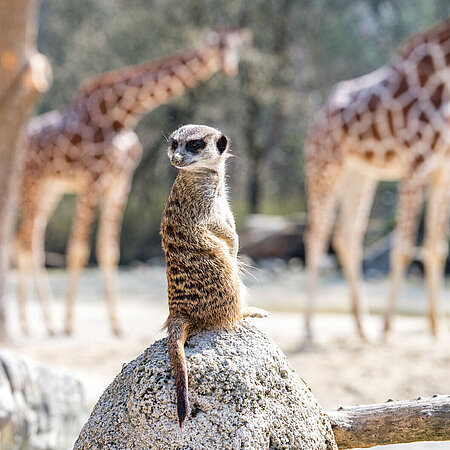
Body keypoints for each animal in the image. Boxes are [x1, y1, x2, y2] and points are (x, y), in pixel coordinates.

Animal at [15, 29, 248, 336]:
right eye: (220, 46)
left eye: (238, 47)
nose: (231, 67)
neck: (122, 113)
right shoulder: (93, 178)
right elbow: (78, 251)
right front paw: (69, 324)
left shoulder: (120, 180)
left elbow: (109, 251)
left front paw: (116, 325)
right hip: (30, 181)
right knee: (26, 240)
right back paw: (35, 324)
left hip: (50, 188)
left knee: (30, 238)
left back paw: (40, 322)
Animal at [304, 17, 448, 342]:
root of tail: (319, 114)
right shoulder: (417, 163)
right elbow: (404, 249)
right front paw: (388, 327)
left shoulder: (443, 170)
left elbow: (436, 249)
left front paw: (435, 327)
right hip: (324, 167)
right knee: (316, 235)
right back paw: (310, 328)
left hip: (361, 175)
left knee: (346, 236)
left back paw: (361, 326)